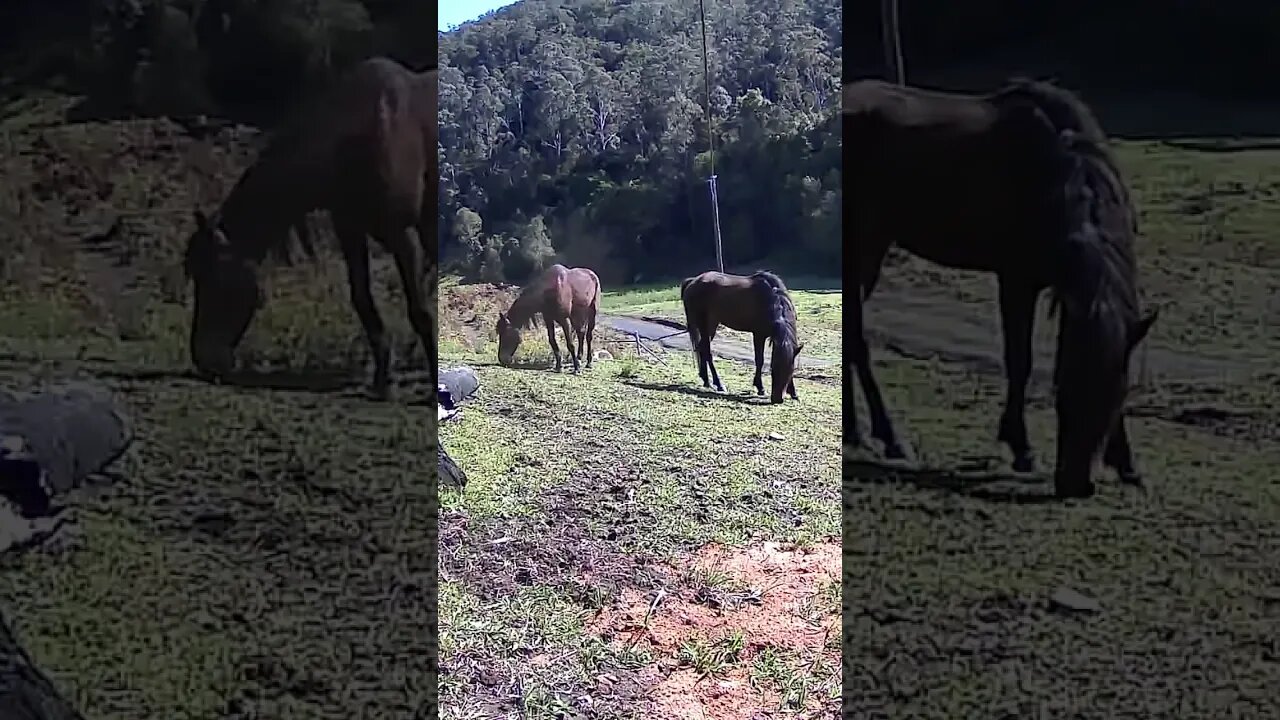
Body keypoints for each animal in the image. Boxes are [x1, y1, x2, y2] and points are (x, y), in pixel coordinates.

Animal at [184, 57, 438, 399]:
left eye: (216, 279)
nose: (204, 360)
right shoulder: (350, 230)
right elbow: (362, 299)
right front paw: (381, 382)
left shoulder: (402, 234)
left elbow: (419, 311)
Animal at [680, 270, 804, 404]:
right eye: (773, 368)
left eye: (790, 370)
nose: (777, 399)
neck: (772, 301)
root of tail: (692, 281)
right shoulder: (758, 335)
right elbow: (759, 360)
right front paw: (760, 388)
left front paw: (794, 394)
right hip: (704, 325)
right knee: (707, 352)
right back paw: (718, 384)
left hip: (711, 326)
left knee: (701, 349)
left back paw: (706, 380)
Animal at [843, 77, 1155, 498]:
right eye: (1064, 388)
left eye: (1113, 395)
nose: (1074, 483)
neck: (1057, 175)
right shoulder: (1017, 280)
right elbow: (1019, 361)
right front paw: (1021, 449)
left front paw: (1127, 465)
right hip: (863, 251)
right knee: (856, 340)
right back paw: (889, 438)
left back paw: (854, 432)